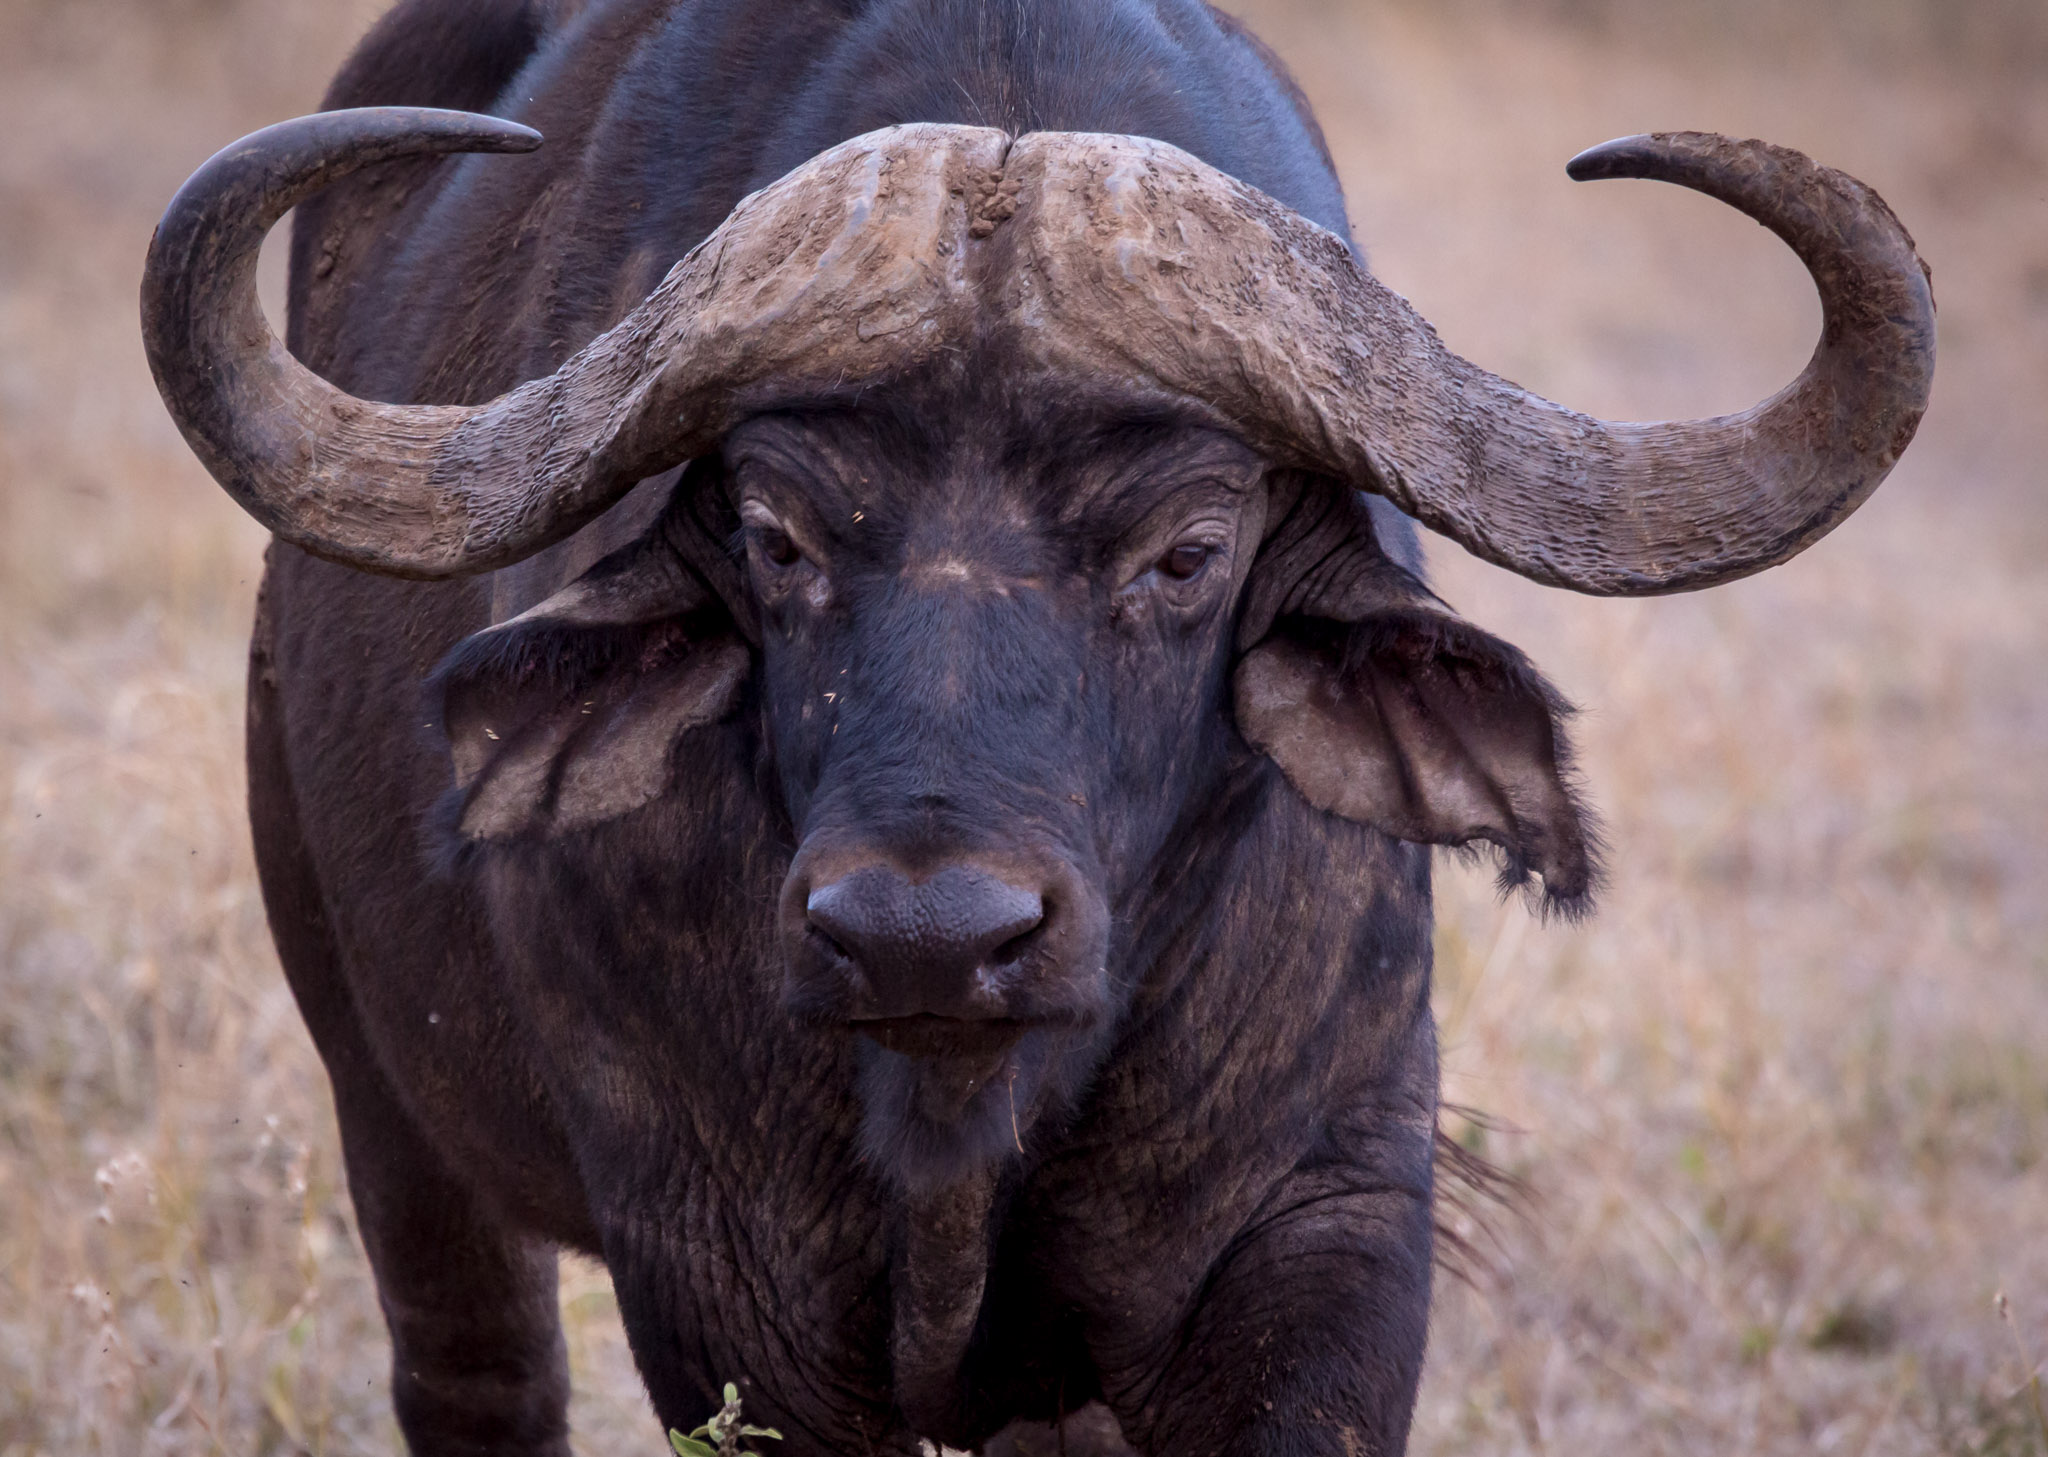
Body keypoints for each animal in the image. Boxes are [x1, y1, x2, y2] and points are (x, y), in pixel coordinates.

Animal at [136, 2, 1925, 1457]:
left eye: (1188, 551)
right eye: (777, 535)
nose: (926, 937)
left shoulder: (1319, 1220)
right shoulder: (728, 1289)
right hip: (390, 1112)